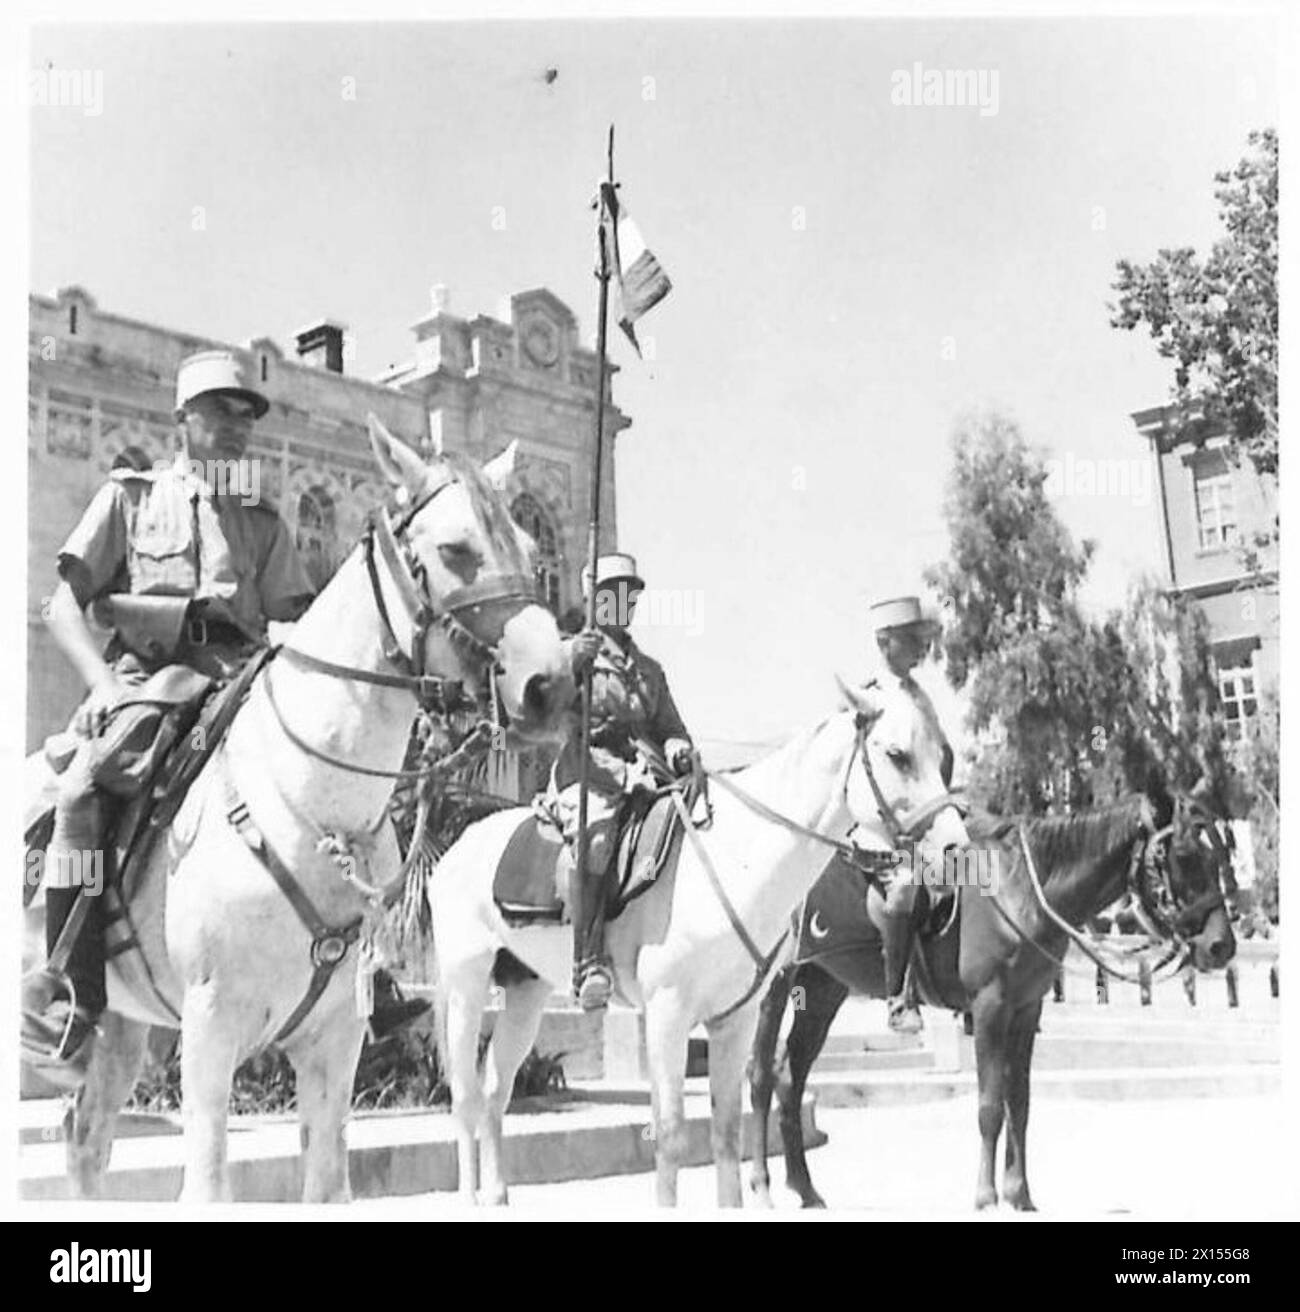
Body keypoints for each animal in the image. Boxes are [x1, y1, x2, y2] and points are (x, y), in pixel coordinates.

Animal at [22, 417, 574, 1201]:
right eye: (456, 549)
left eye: (531, 549)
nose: (550, 686)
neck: (311, 805)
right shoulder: (211, 1029)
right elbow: (208, 1185)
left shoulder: (334, 1038)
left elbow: (327, 1182)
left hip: (123, 1027)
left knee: (88, 1143)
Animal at [427, 676, 965, 1207]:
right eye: (897, 754)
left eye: (944, 757)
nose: (955, 847)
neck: (735, 856)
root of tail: (455, 851)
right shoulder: (668, 1014)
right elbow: (670, 1136)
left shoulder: (734, 1019)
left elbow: (726, 1132)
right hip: (467, 986)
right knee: (466, 1098)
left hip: (526, 993)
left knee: (496, 1091)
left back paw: (498, 1195)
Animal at [745, 787, 1233, 1207]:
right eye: (1185, 855)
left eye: (1221, 852)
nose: (1221, 946)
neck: (1022, 891)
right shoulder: (989, 1007)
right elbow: (989, 1106)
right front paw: (986, 1196)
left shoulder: (1026, 1009)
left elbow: (1020, 1101)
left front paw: (1020, 1194)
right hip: (776, 985)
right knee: (761, 1075)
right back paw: (762, 1186)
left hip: (824, 987)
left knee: (791, 1076)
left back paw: (806, 1189)